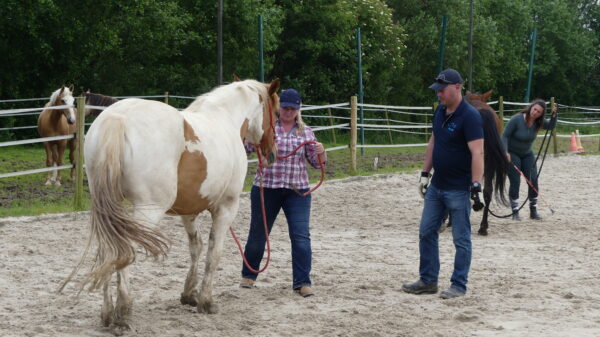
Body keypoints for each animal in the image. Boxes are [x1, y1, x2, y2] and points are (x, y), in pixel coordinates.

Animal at [62, 78, 282, 326]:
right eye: (276, 113)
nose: (272, 153)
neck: (225, 118)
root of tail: (118, 118)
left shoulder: (189, 210)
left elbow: (196, 247)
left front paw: (189, 294)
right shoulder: (226, 207)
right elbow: (213, 252)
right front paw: (206, 301)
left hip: (110, 208)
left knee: (108, 250)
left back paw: (108, 312)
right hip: (148, 211)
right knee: (125, 250)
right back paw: (123, 312)